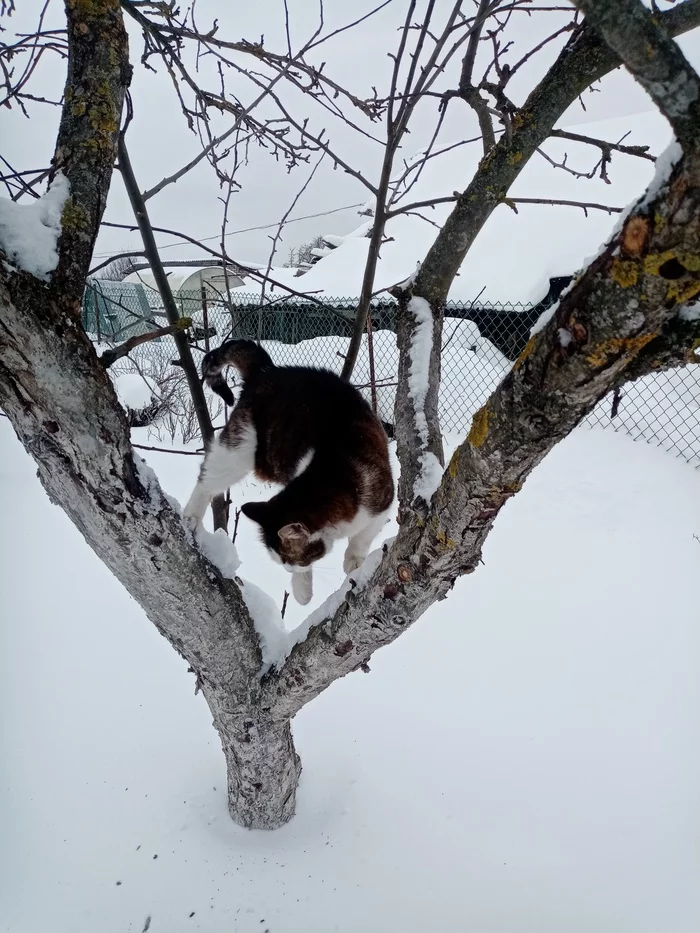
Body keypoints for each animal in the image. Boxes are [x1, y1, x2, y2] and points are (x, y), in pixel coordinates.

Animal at [182, 338, 394, 608]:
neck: (331, 476)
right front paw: (302, 590)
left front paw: (354, 562)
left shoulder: (381, 504)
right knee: (207, 481)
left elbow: (363, 538)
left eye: (288, 559)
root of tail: (267, 370)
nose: (287, 568)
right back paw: (190, 517)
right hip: (238, 448)